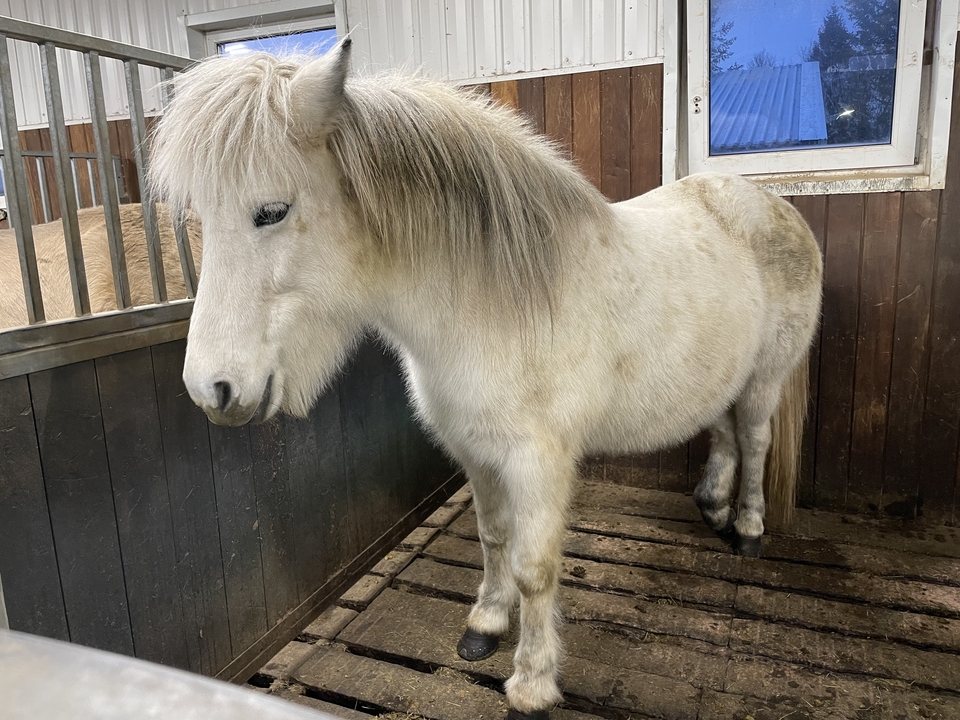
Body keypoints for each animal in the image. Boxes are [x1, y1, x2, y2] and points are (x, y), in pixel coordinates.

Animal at [149, 41, 823, 720]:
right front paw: (485, 625)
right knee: (726, 433)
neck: (496, 303)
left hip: (766, 379)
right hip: (724, 378)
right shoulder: (476, 451)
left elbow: (534, 567)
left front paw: (532, 682)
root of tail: (776, 206)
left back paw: (748, 531)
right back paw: (713, 506)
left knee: (755, 441)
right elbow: (493, 537)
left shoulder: (539, 462)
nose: (212, 390)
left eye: (272, 211)